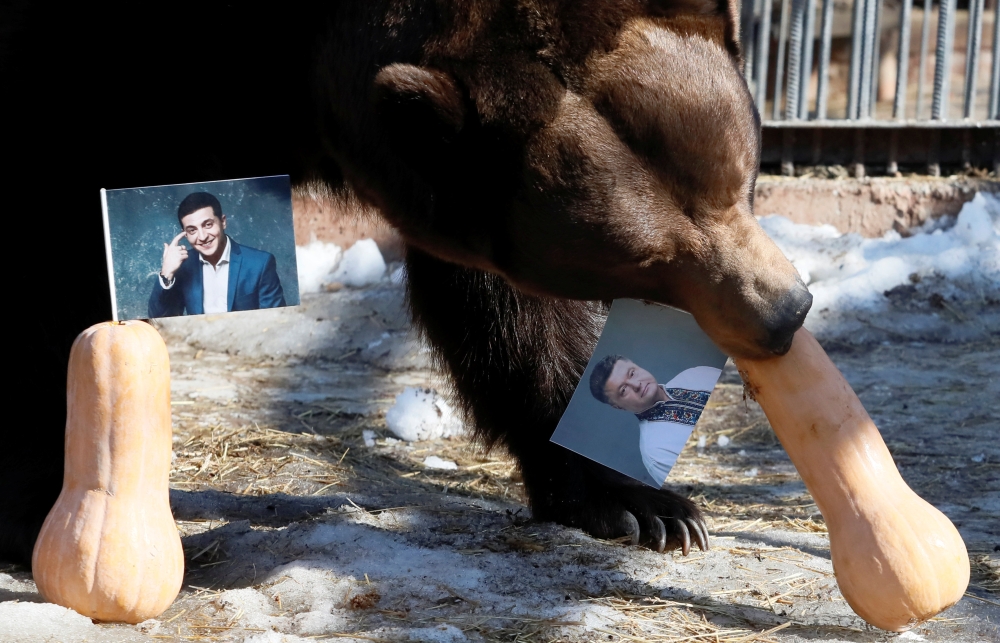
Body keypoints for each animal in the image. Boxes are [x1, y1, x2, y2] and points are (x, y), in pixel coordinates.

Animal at [0, 0, 810, 564]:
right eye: (645, 259)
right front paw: (44, 502)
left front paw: (644, 504)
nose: (786, 311)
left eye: (739, 182)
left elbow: (505, 307)